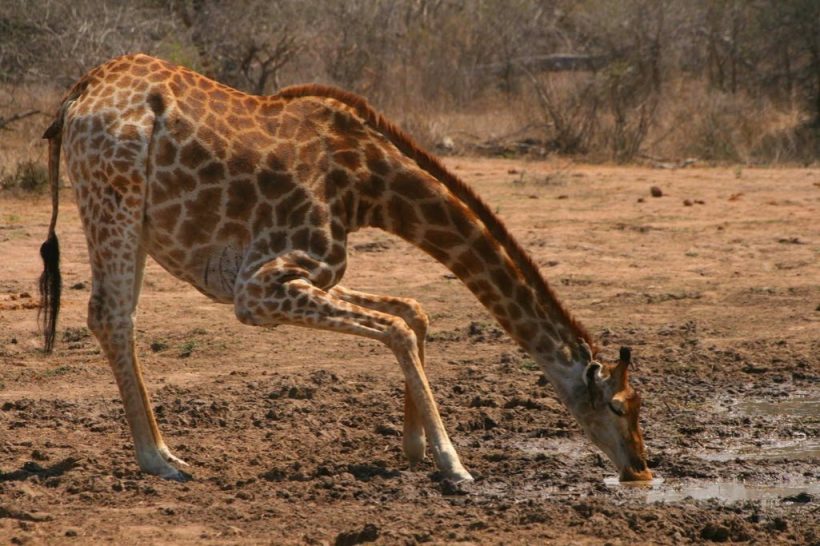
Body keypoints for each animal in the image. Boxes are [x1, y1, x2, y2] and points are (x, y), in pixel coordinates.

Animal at [38, 54, 652, 483]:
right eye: (619, 407)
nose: (641, 469)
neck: (368, 188)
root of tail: (77, 93)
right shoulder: (258, 288)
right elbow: (399, 327)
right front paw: (452, 463)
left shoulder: (314, 274)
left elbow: (413, 311)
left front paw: (414, 448)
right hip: (112, 194)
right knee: (110, 315)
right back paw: (158, 459)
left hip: (135, 219)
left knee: (117, 317)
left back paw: (165, 451)